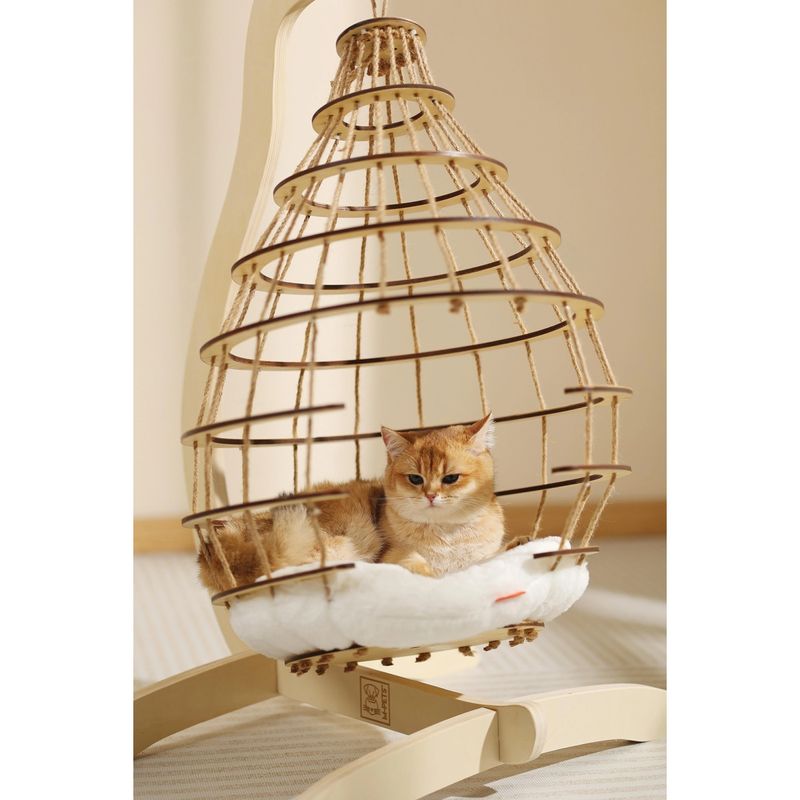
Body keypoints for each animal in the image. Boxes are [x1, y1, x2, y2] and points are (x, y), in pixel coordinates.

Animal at [198, 414, 507, 591]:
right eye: (415, 479)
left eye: (451, 478)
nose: (430, 495)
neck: (450, 537)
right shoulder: (394, 555)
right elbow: (417, 565)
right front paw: (432, 577)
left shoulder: (488, 555)